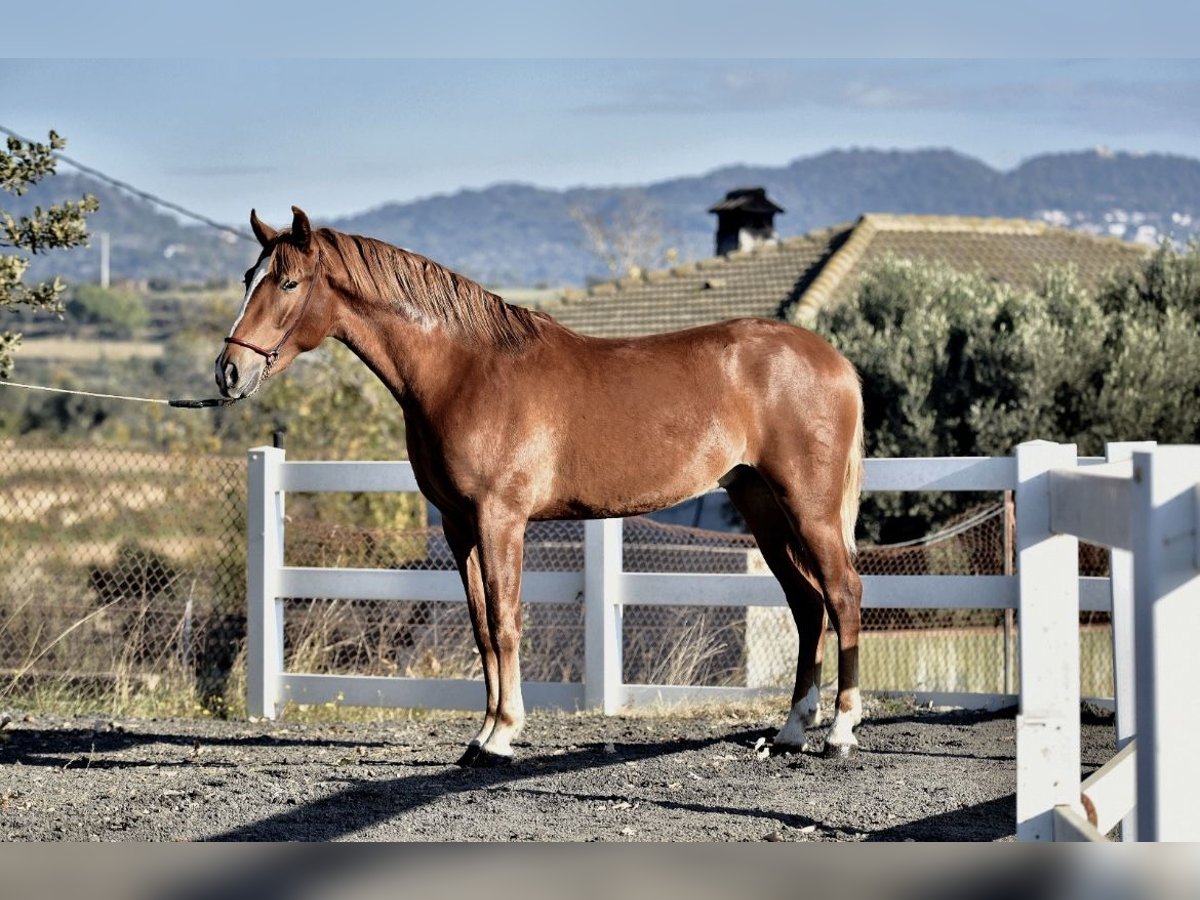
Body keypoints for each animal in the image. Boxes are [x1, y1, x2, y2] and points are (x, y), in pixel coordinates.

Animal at [216, 206, 866, 766]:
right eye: (249, 278)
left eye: (289, 283)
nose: (228, 372)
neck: (464, 370)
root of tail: (835, 361)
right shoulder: (459, 526)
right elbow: (482, 628)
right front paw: (481, 735)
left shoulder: (499, 519)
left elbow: (506, 622)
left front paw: (503, 734)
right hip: (762, 507)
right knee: (807, 603)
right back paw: (792, 730)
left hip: (808, 507)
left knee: (842, 594)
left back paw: (839, 731)